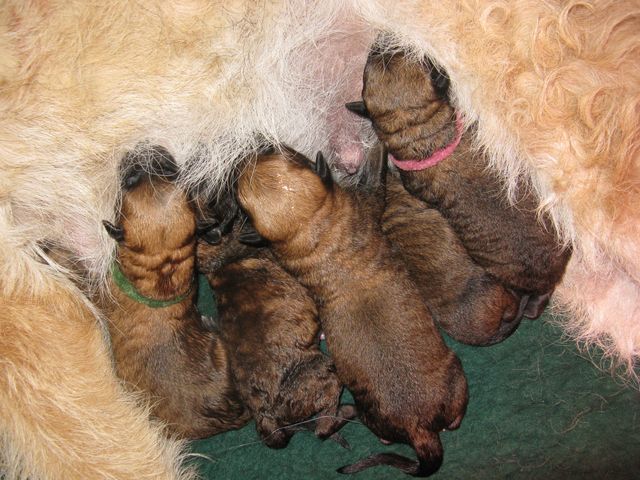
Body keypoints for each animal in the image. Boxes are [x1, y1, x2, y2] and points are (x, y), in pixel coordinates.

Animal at [238, 147, 468, 476]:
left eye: (288, 155)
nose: (250, 154)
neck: (315, 230)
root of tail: (419, 432)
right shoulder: (366, 202)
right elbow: (375, 177)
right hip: (454, 375)